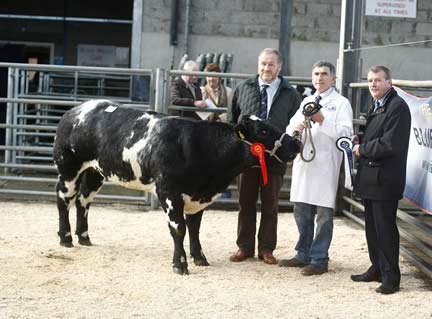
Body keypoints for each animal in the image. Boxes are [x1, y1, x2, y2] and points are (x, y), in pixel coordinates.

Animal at [54, 100, 300, 276]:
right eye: (263, 131)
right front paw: (180, 264)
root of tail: (75, 110)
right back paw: (66, 238)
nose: (296, 142)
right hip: (68, 167)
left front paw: (199, 257)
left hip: (96, 172)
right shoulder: (169, 192)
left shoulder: (197, 196)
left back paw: (84, 237)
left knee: (83, 200)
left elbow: (195, 228)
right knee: (64, 198)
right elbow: (179, 229)